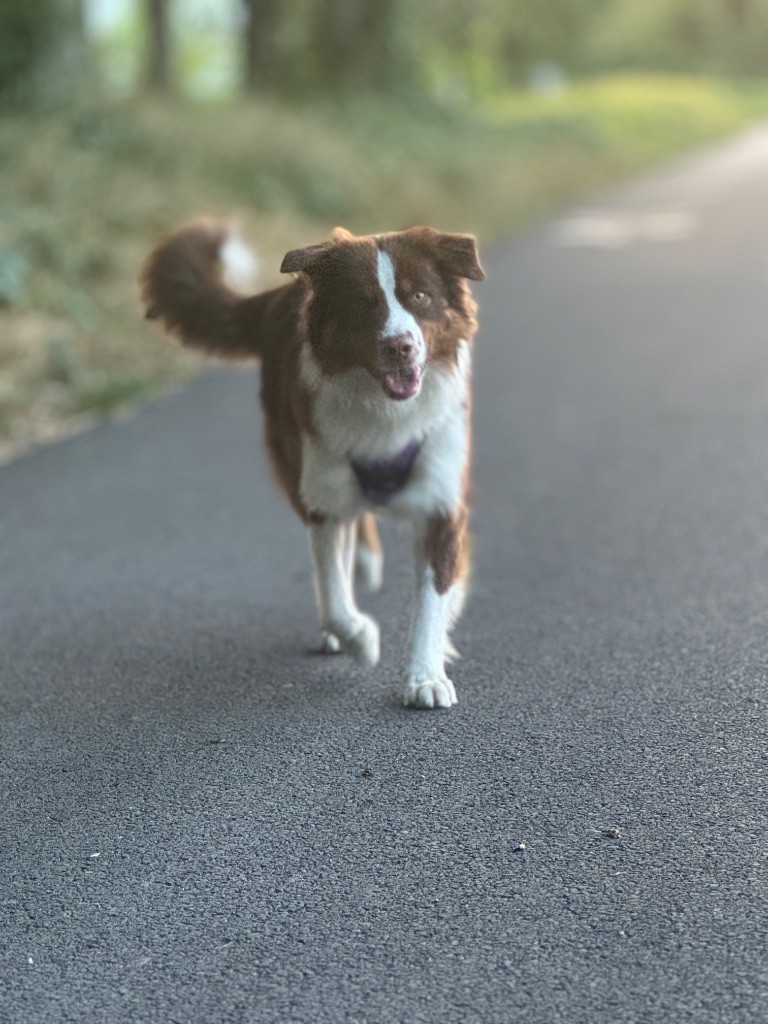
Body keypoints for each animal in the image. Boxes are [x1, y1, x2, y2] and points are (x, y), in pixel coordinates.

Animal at [141, 221, 483, 708]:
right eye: (364, 302)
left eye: (419, 296)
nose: (399, 346)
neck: (385, 413)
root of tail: (280, 294)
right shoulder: (322, 498)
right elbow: (332, 592)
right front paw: (360, 638)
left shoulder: (441, 503)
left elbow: (432, 601)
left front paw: (425, 677)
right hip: (293, 461)